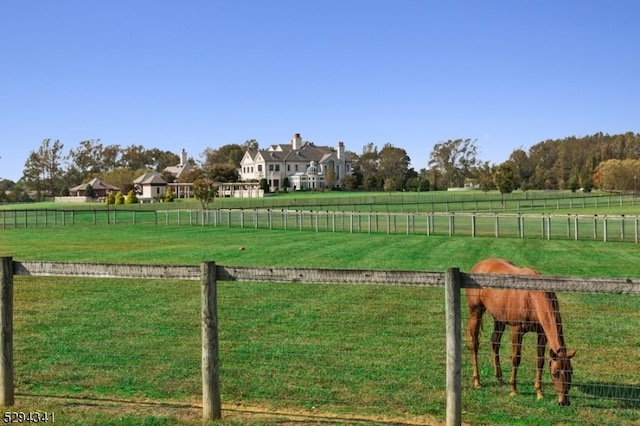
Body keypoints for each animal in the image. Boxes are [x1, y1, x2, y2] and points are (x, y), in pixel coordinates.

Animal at [464, 258, 576, 404]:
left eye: (571, 371)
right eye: (554, 373)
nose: (564, 402)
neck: (531, 296)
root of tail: (479, 265)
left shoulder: (542, 334)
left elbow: (540, 361)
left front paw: (539, 392)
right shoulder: (516, 330)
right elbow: (516, 358)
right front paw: (513, 390)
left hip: (499, 318)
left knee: (494, 343)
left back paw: (500, 380)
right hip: (475, 312)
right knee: (475, 344)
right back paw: (477, 382)